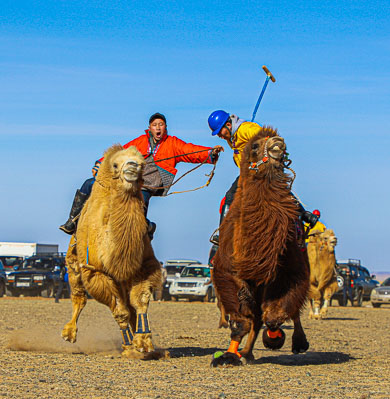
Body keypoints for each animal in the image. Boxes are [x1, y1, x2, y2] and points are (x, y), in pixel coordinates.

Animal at [61, 144, 165, 360]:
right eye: (116, 164)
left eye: (142, 164)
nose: (132, 167)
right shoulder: (95, 272)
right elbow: (120, 310)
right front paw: (129, 346)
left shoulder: (144, 268)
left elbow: (140, 301)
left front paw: (144, 343)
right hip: (73, 265)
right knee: (79, 297)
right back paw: (69, 333)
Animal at [212, 128, 310, 368]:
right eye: (255, 146)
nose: (278, 142)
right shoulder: (228, 273)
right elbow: (242, 321)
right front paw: (228, 356)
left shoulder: (288, 271)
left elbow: (274, 316)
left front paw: (275, 339)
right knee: (254, 317)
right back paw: (246, 353)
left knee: (287, 312)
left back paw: (298, 343)